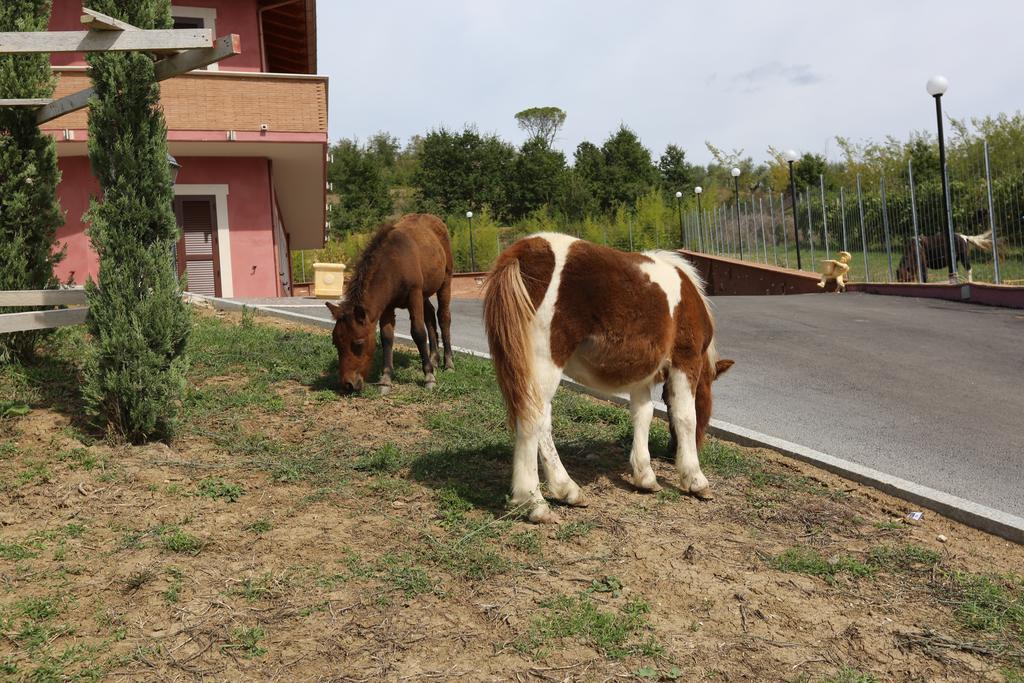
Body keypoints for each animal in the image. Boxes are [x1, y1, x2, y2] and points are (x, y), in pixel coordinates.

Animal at [325, 214, 454, 395]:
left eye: (358, 344)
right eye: (336, 343)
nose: (348, 385)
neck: (394, 264)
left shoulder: (414, 294)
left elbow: (418, 332)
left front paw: (429, 377)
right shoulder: (387, 305)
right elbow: (387, 337)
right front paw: (386, 379)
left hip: (445, 280)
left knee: (443, 317)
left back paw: (448, 363)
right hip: (425, 291)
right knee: (430, 314)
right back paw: (434, 358)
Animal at [483, 233, 733, 524]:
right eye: (708, 407)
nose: (671, 454)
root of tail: (521, 253)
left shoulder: (642, 376)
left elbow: (643, 415)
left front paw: (645, 476)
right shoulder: (686, 362)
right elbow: (685, 417)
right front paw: (695, 479)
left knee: (542, 422)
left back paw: (567, 490)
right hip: (543, 365)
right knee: (532, 420)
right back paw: (534, 502)